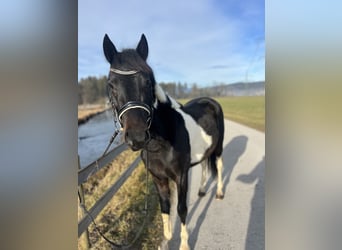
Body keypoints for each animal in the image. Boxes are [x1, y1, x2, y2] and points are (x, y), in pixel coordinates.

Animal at [103, 33, 226, 250]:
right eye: (111, 85)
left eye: (147, 81)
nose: (137, 137)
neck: (161, 143)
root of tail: (210, 100)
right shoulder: (158, 178)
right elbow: (165, 208)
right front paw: (167, 240)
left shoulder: (181, 176)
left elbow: (182, 209)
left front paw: (184, 245)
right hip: (205, 151)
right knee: (205, 165)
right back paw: (202, 191)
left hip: (218, 148)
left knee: (218, 166)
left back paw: (218, 193)